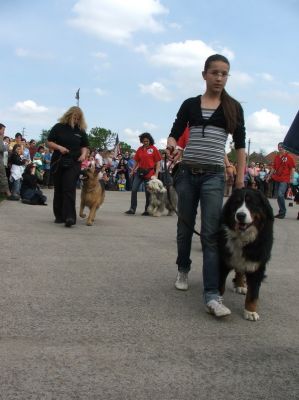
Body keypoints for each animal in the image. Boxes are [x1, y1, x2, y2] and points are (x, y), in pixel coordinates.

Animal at [219, 188, 276, 322]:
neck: (243, 238)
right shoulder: (223, 259)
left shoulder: (257, 264)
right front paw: (217, 301)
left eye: (252, 203)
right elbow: (220, 285)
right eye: (237, 202)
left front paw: (250, 312)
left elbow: (253, 293)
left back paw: (240, 285)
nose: (240, 215)